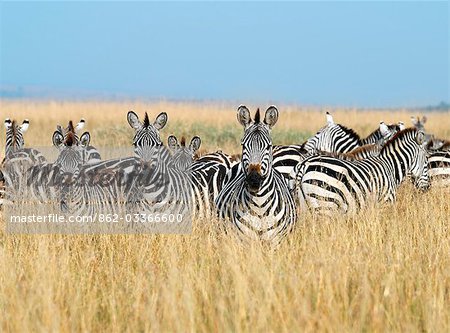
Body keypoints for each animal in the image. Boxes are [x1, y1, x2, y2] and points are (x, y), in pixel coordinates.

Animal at [215, 105, 298, 243]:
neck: (260, 206)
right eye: (243, 145)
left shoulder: (276, 241)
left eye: (268, 146)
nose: (254, 179)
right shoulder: (243, 241)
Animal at [292, 127, 432, 213]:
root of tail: (305, 164)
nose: (428, 188)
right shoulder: (385, 202)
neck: (390, 166)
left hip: (305, 205)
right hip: (325, 204)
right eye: (426, 162)